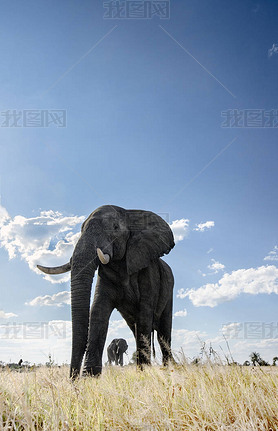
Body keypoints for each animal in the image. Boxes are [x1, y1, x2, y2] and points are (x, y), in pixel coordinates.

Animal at [37, 206, 174, 378]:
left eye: (115, 228)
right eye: (81, 229)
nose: (73, 380)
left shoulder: (148, 272)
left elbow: (145, 315)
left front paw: (145, 374)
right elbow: (98, 312)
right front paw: (90, 377)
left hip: (169, 289)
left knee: (163, 332)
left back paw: (168, 370)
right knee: (136, 329)